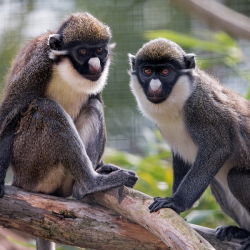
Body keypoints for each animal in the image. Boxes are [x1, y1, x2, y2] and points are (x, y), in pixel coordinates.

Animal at [0, 12, 138, 250]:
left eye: (99, 51)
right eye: (82, 52)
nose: (96, 66)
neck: (64, 69)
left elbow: (95, 99)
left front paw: (103, 166)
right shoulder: (37, 65)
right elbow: (9, 116)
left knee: (93, 105)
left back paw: (85, 184)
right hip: (30, 164)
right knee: (47, 109)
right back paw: (89, 184)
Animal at [130, 38, 250, 249]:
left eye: (165, 72)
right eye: (147, 71)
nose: (154, 87)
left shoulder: (203, 110)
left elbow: (218, 148)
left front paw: (176, 202)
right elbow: (182, 159)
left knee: (236, 178)